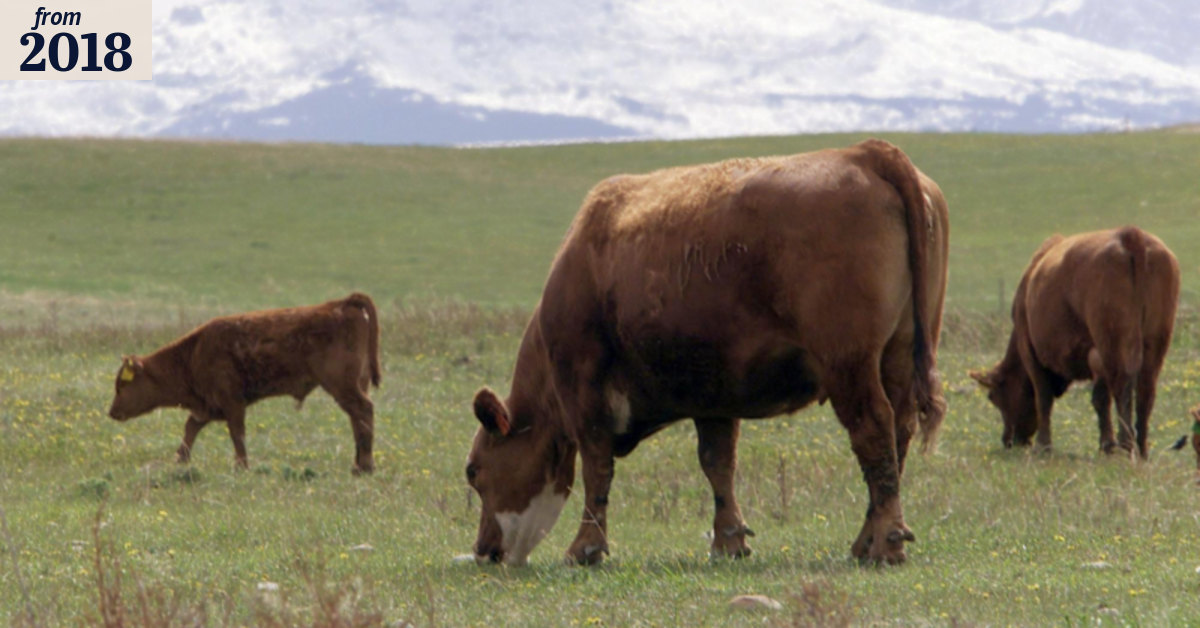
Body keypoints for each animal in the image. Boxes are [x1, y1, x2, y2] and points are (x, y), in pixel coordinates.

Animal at [107, 292, 381, 474]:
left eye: (123, 384)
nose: (112, 412)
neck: (194, 352)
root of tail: (342, 303)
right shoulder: (208, 406)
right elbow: (191, 428)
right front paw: (180, 459)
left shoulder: (232, 403)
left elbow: (236, 434)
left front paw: (242, 466)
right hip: (357, 384)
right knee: (357, 418)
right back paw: (357, 465)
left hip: (342, 385)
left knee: (363, 411)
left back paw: (365, 466)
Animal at [464, 139, 949, 567]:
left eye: (474, 470)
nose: (484, 550)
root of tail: (864, 152)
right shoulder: (714, 397)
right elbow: (718, 465)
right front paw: (728, 541)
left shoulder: (584, 392)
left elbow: (596, 470)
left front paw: (585, 548)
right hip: (898, 354)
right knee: (898, 435)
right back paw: (866, 540)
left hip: (850, 363)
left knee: (874, 431)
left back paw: (885, 543)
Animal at [970, 227, 1179, 458]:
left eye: (993, 397)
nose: (1008, 440)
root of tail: (1131, 235)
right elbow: (1100, 398)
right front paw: (1106, 444)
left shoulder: (1030, 350)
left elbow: (1044, 397)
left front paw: (1044, 445)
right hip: (1155, 340)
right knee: (1145, 389)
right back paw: (1141, 449)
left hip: (1114, 342)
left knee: (1123, 386)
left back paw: (1126, 446)